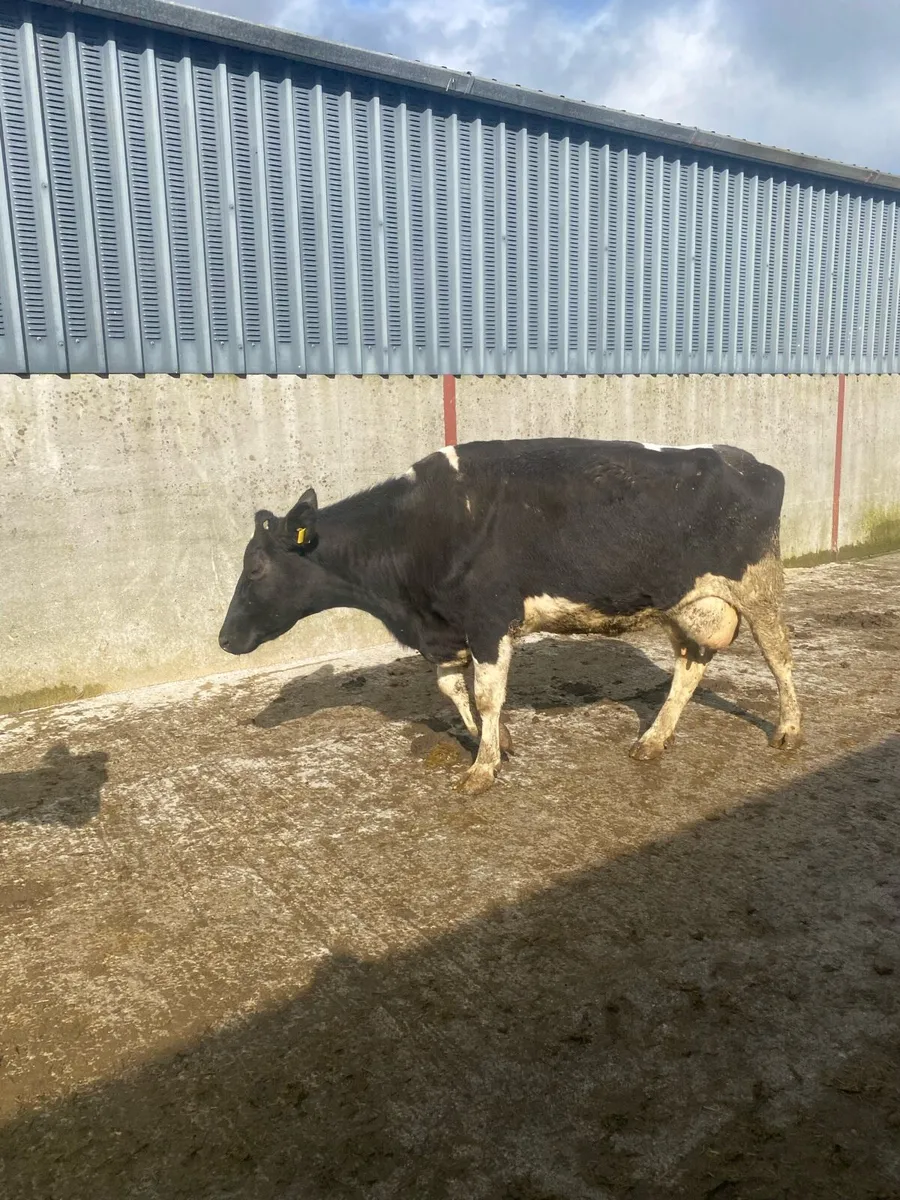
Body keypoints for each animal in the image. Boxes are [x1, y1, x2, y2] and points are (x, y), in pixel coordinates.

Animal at [219, 438, 802, 794]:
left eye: (255, 567)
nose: (224, 639)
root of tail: (750, 462)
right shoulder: (447, 628)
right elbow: (453, 691)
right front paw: (497, 741)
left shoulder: (489, 619)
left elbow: (485, 694)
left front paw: (482, 769)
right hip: (686, 603)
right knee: (690, 666)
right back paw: (653, 740)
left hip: (758, 586)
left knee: (779, 654)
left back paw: (788, 730)